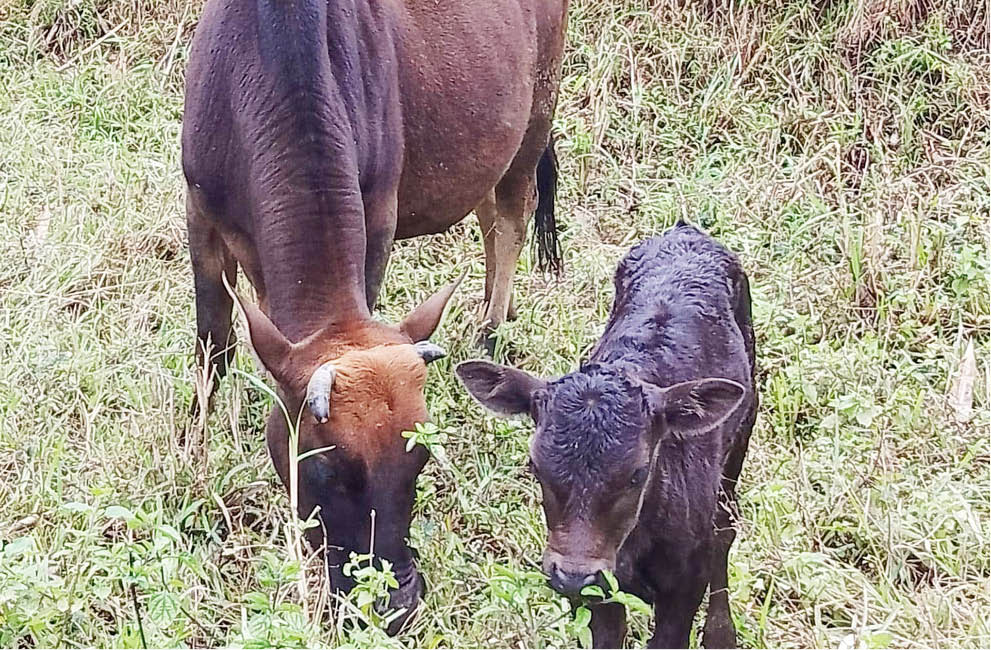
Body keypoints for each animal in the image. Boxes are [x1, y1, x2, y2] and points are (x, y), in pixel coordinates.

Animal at [183, 0, 568, 632]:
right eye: (324, 470)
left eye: (421, 460)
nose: (397, 604)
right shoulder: (199, 212)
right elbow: (213, 346)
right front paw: (193, 458)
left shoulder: (378, 212)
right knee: (492, 217)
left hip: (536, 112)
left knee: (513, 215)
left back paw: (490, 333)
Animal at [460, 221, 760, 644]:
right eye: (535, 467)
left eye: (637, 474)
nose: (573, 576)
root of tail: (685, 231)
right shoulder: (596, 594)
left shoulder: (684, 584)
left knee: (725, 528)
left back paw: (721, 632)